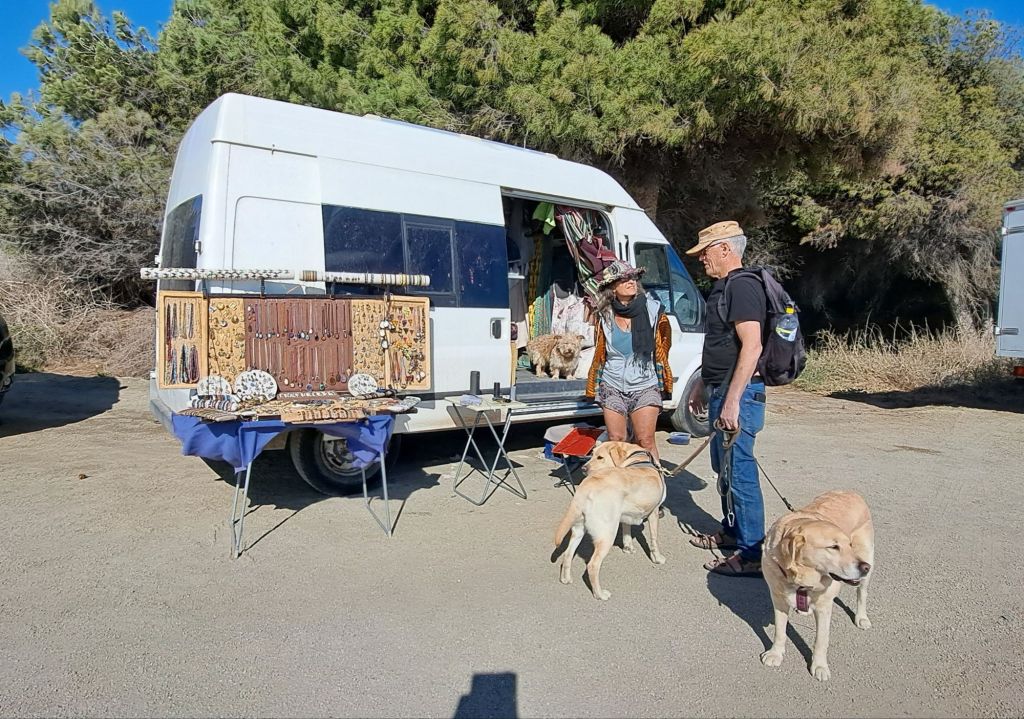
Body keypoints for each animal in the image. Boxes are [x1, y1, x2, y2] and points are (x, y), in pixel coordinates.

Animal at [553, 441, 666, 600]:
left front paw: (628, 548)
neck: (637, 458)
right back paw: (599, 594)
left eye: (599, 457)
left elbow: (627, 531)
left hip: (578, 529)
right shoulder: (654, 512)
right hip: (607, 535)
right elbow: (654, 539)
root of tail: (586, 486)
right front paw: (657, 558)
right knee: (592, 565)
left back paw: (565, 579)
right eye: (592, 455)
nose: (583, 468)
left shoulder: (625, 515)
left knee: (568, 554)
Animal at [760, 490, 874, 681]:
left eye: (849, 544)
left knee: (862, 594)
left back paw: (861, 617)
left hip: (867, 560)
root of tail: (851, 492)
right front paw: (775, 654)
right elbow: (780, 631)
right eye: (833, 547)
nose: (865, 567)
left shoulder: (824, 607)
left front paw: (819, 666)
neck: (800, 577)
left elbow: (821, 640)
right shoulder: (778, 599)